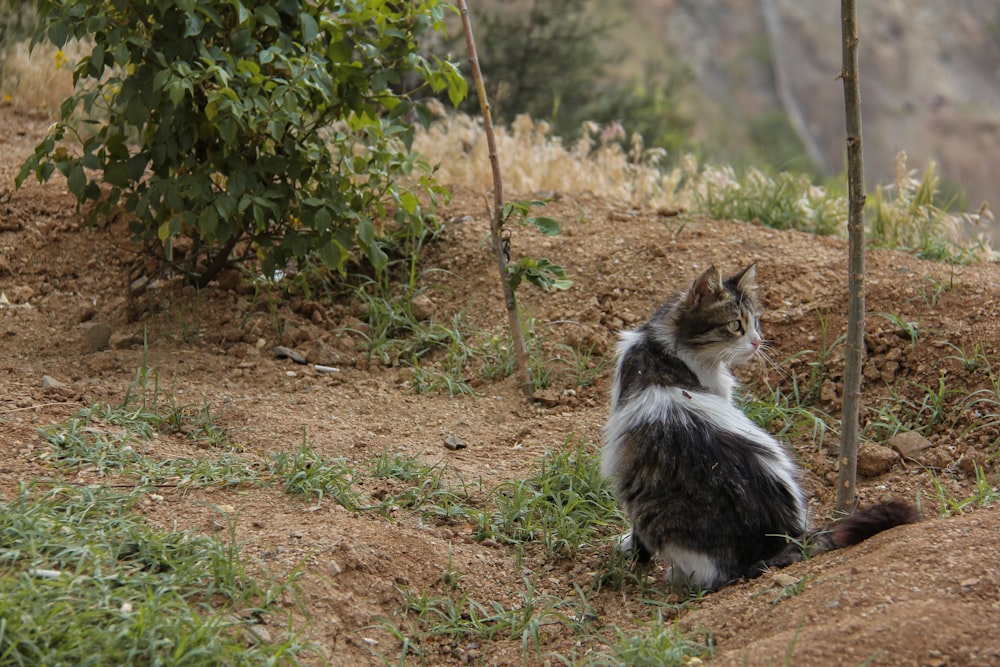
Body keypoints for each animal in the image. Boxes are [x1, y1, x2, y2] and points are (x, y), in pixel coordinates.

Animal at [600, 264, 920, 592]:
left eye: (755, 322)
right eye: (736, 325)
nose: (757, 341)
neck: (660, 349)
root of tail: (781, 541)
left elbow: (639, 539)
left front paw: (631, 552)